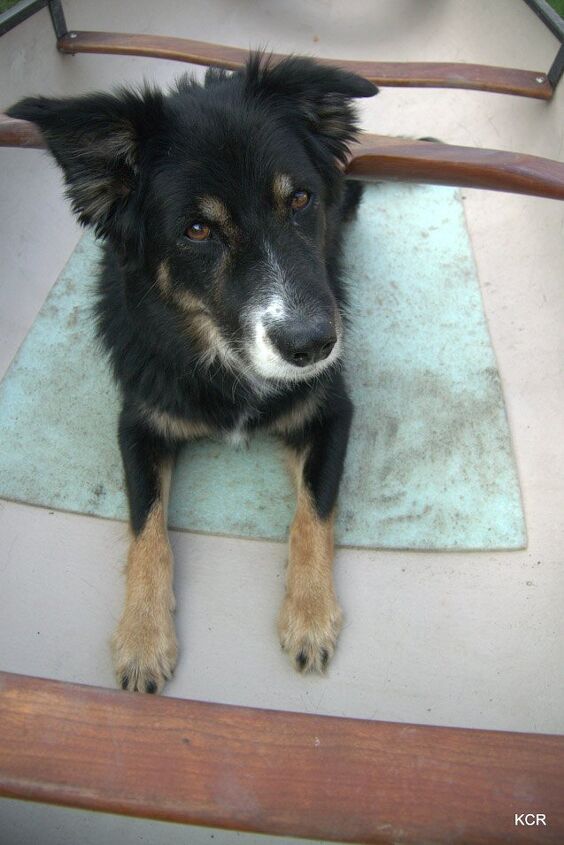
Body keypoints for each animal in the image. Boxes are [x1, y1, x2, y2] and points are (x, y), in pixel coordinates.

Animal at [6, 54, 376, 692]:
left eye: (300, 199)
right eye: (197, 230)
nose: (314, 346)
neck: (220, 353)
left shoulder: (331, 409)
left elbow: (314, 510)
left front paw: (309, 615)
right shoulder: (139, 420)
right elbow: (147, 528)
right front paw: (142, 637)